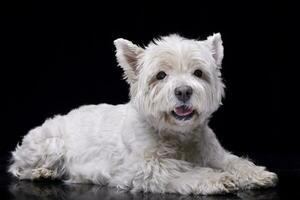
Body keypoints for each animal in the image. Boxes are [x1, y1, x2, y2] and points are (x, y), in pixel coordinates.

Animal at [8, 33, 278, 195]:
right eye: (160, 75)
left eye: (198, 73)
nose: (183, 91)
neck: (177, 135)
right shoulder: (144, 168)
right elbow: (181, 169)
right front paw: (216, 179)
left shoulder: (213, 153)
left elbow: (234, 161)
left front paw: (256, 173)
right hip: (50, 145)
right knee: (18, 167)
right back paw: (42, 172)